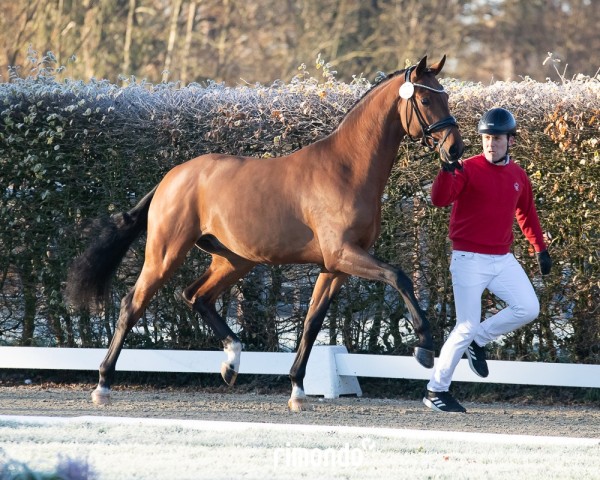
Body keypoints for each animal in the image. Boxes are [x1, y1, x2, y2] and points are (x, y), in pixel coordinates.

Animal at [69, 55, 464, 408]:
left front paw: (297, 389)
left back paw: (232, 362)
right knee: (132, 304)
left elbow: (312, 322)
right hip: (166, 254)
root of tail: (173, 176)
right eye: (426, 100)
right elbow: (399, 277)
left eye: (445, 96)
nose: (454, 149)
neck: (346, 169)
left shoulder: (334, 267)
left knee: (196, 296)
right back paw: (103, 384)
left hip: (234, 260)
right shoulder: (343, 254)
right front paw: (424, 346)